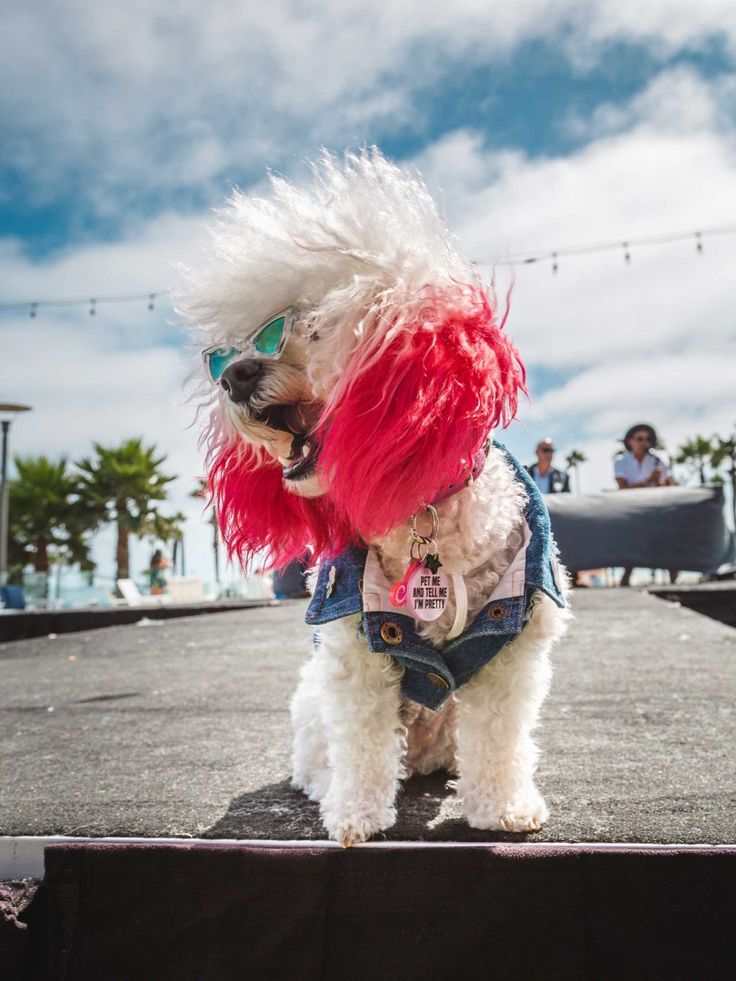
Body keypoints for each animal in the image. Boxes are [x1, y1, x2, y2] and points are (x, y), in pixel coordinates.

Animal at [181, 149, 572, 848]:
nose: (235, 376)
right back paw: (324, 784)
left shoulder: (514, 645)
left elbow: (500, 738)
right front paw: (356, 815)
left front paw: (502, 808)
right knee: (326, 752)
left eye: (314, 327)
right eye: (238, 348)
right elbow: (361, 744)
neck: (423, 516)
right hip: (311, 703)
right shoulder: (353, 650)